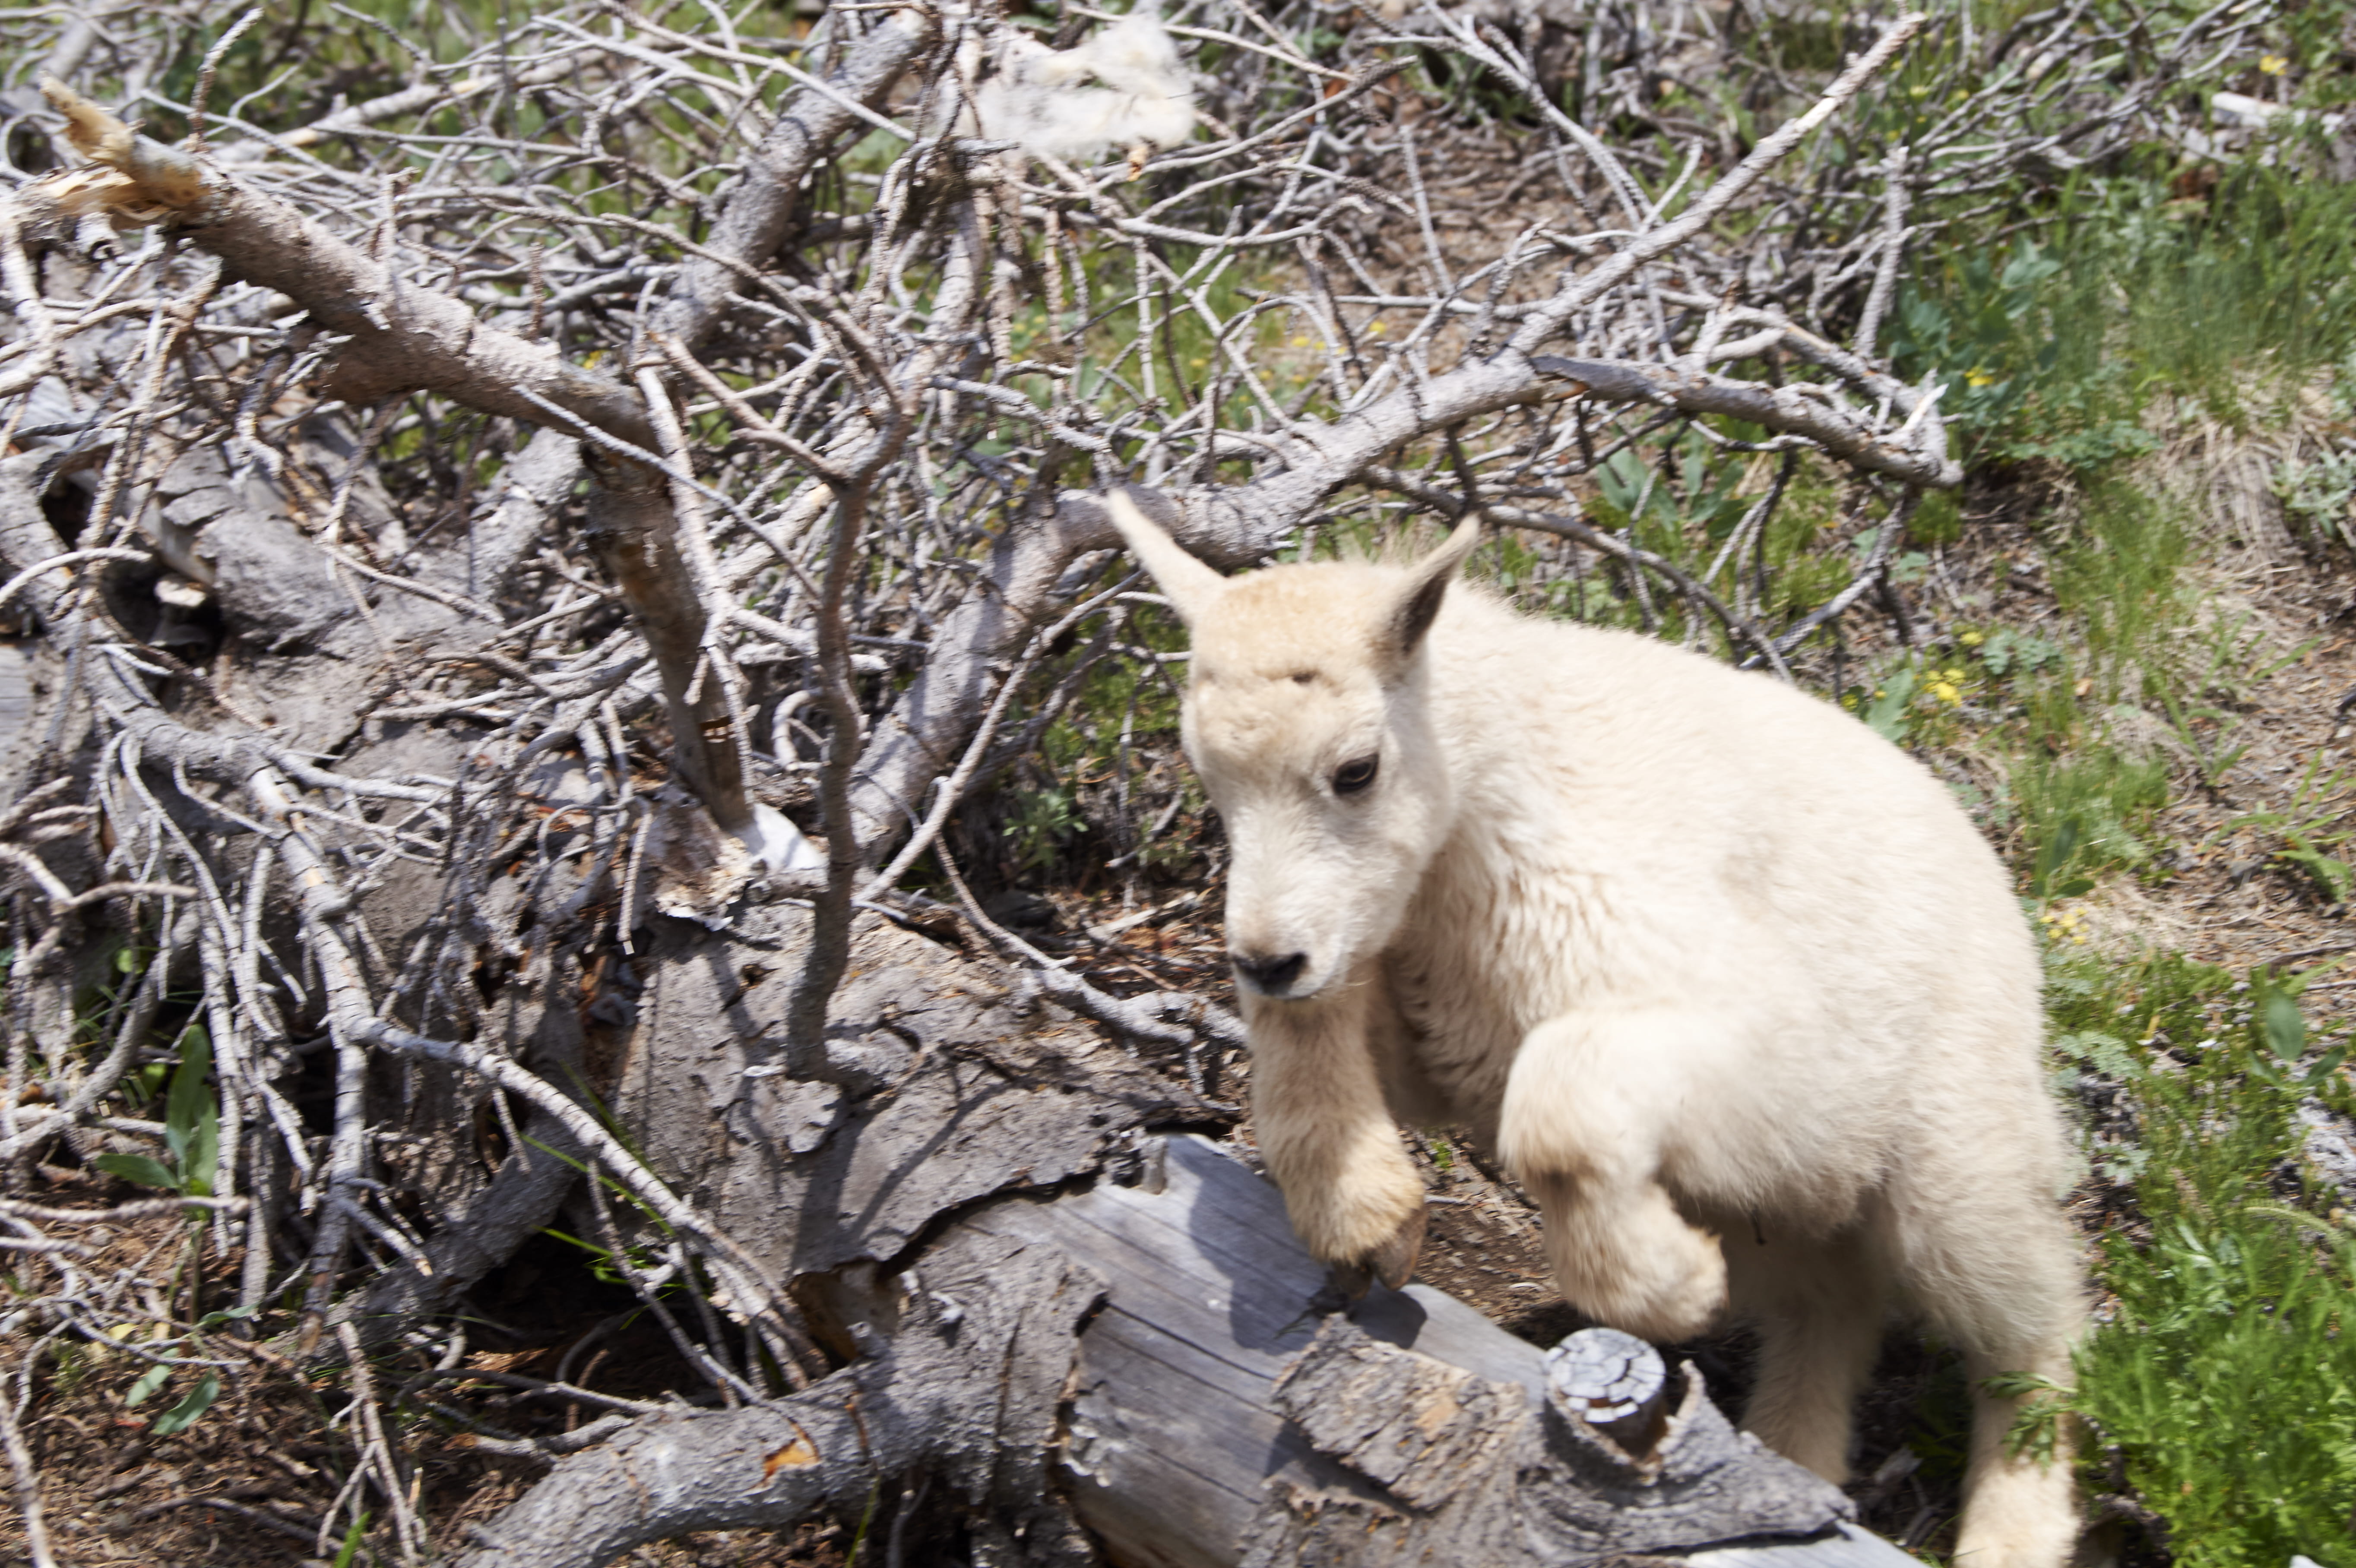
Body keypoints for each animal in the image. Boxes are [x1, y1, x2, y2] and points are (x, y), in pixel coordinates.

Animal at [1104, 490, 2082, 1566]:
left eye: (1355, 769)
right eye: (1209, 775)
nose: (1268, 957)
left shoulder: (1748, 1022)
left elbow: (1562, 1110)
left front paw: (1676, 1289)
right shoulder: (1421, 994)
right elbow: (1323, 1038)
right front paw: (1367, 1218)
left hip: (1949, 1130)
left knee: (2026, 1306)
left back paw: (2015, 1518)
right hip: (1798, 1204)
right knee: (1828, 1305)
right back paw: (1797, 1460)